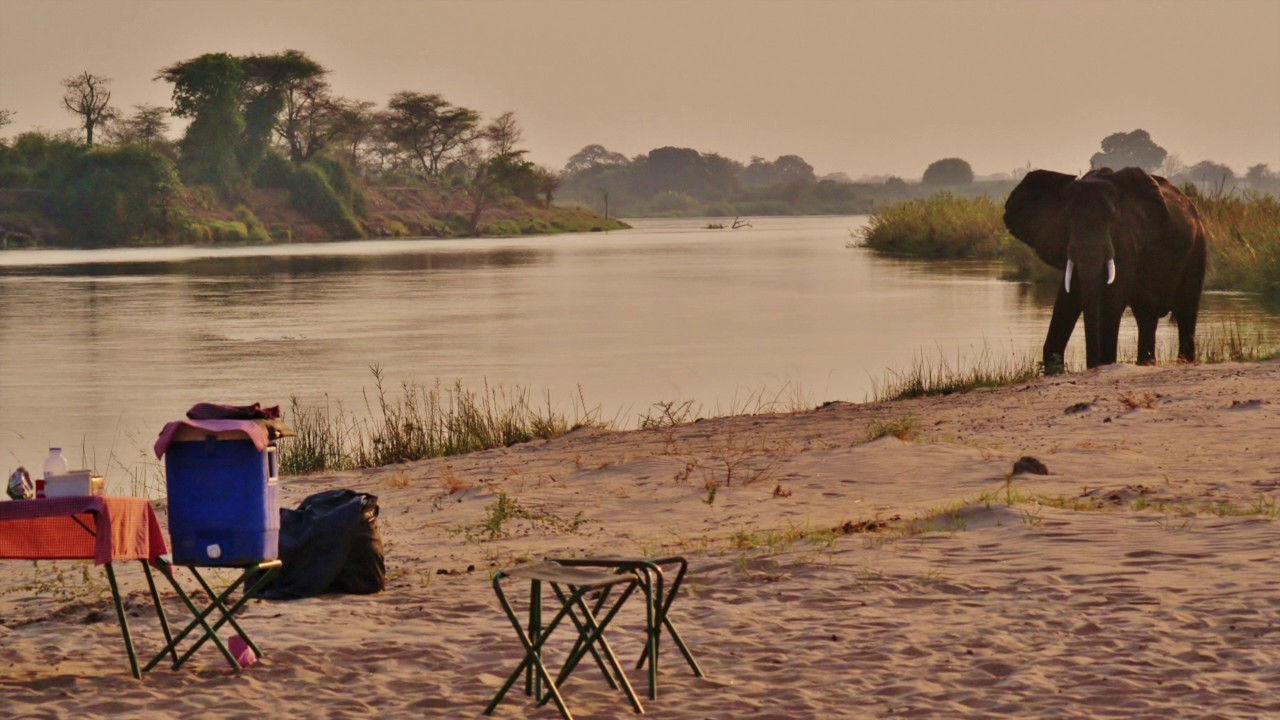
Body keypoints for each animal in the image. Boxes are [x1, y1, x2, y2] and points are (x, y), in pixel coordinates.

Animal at [1003, 166, 1207, 371]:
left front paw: (1105, 362)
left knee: (1186, 310)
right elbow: (1068, 298)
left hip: (1198, 247)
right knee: (1146, 314)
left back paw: (1183, 361)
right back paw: (1146, 363)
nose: (1092, 365)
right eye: (1066, 218)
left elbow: (1113, 298)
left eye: (1112, 218)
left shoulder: (1127, 239)